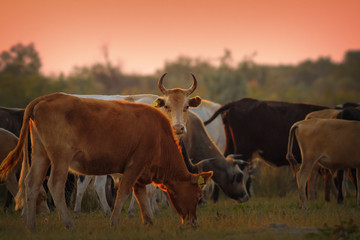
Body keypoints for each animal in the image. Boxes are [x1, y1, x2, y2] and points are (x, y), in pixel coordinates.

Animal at [0, 93, 212, 232]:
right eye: (198, 194)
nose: (194, 223)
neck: (159, 136)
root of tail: (45, 98)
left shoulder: (141, 173)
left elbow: (141, 195)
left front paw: (148, 221)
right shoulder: (134, 165)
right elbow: (124, 193)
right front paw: (114, 221)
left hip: (40, 155)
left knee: (32, 183)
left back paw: (32, 226)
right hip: (60, 158)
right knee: (55, 185)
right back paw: (69, 223)